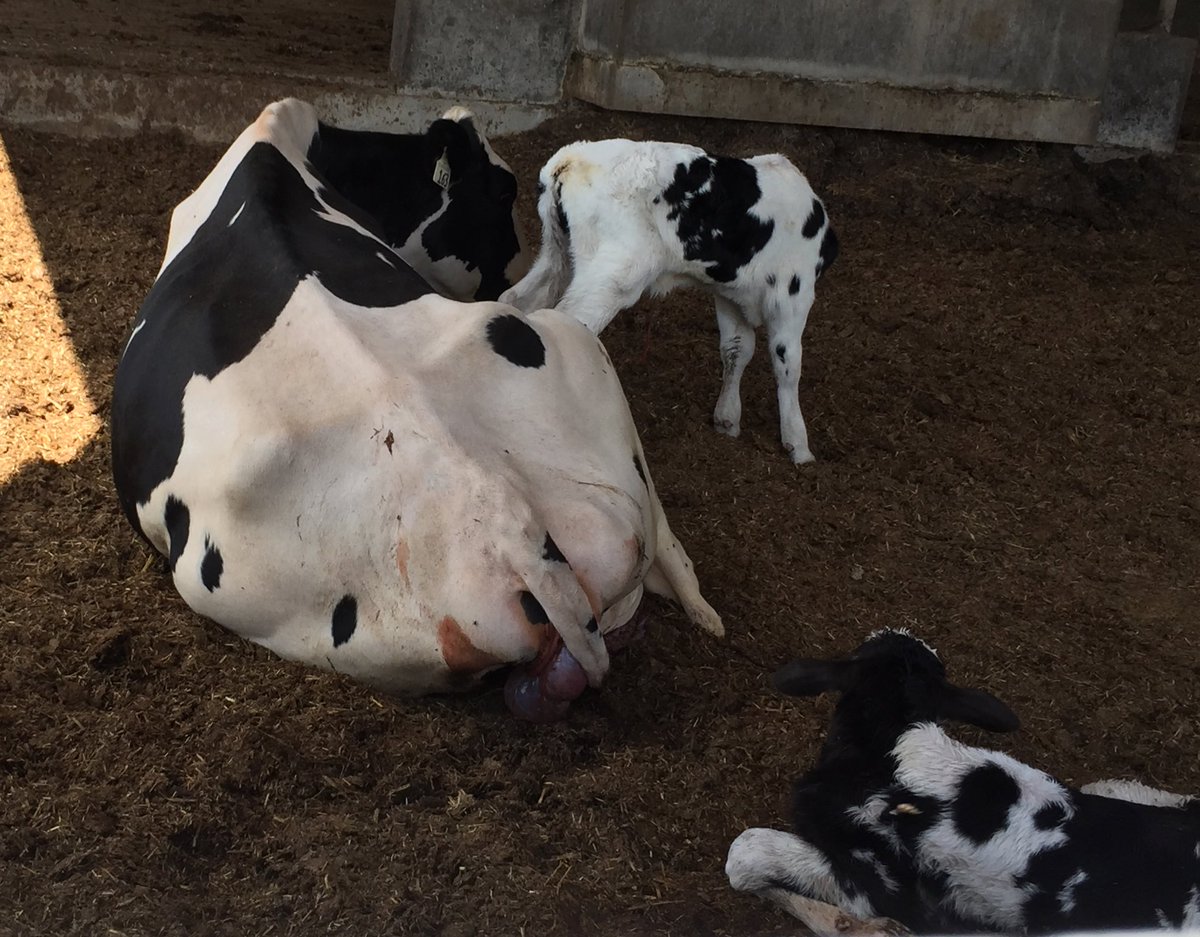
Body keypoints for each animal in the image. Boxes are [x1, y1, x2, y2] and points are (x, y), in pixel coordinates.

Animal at [499, 139, 838, 464]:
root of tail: (572, 158)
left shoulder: (730, 295)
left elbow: (736, 350)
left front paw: (727, 419)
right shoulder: (793, 295)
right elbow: (788, 363)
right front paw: (798, 445)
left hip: (556, 256)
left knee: (516, 300)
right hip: (615, 274)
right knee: (567, 322)